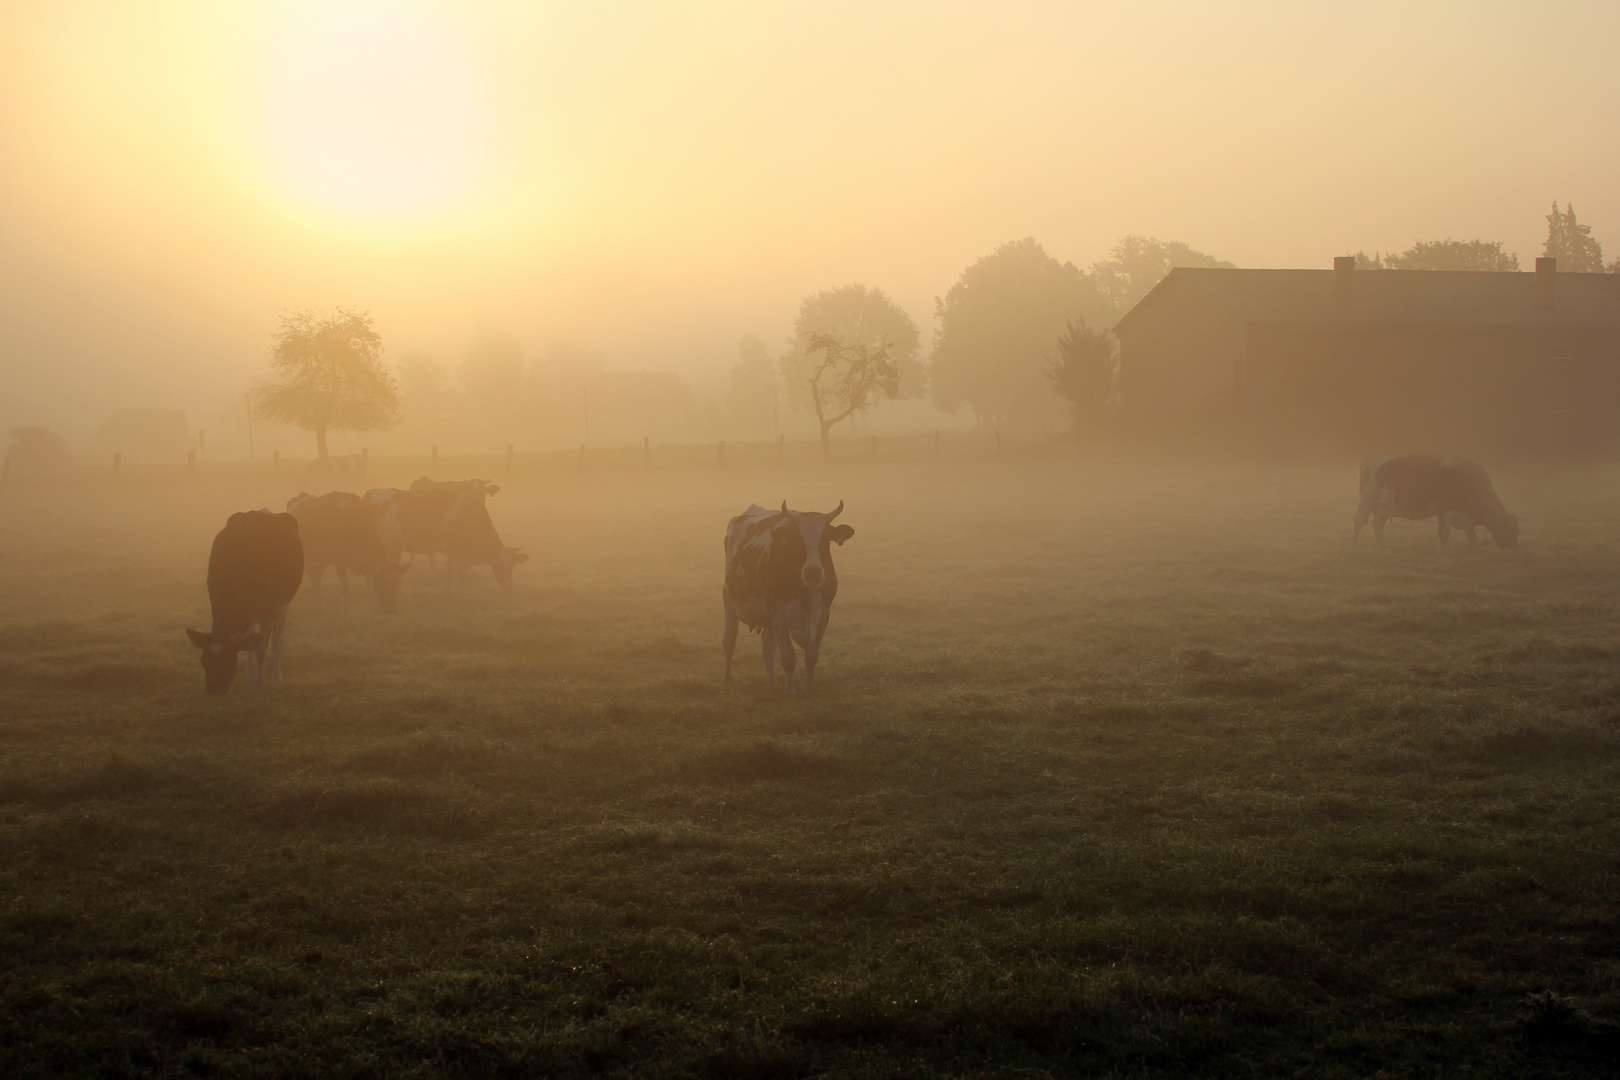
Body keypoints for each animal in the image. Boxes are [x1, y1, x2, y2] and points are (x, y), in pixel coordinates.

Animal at [187, 511, 304, 696]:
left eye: (229, 661)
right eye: (204, 660)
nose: (214, 692)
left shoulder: (269, 609)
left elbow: (261, 649)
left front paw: (261, 682)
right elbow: (249, 644)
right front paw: (253, 676)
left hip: (284, 603)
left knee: (277, 642)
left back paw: (277, 679)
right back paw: (251, 674)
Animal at [364, 488, 528, 595]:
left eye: (512, 566)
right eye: (498, 564)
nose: (509, 588)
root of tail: (370, 494)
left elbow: (450, 571)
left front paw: (446, 591)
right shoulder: (455, 550)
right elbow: (457, 572)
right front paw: (462, 594)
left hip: (393, 546)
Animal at [725, 501, 855, 696]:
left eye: (825, 539)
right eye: (797, 539)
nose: (813, 572)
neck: (806, 594)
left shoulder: (823, 616)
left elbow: (811, 657)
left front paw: (809, 687)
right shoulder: (780, 619)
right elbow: (788, 659)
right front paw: (790, 691)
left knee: (768, 648)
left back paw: (772, 683)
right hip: (729, 602)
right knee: (729, 642)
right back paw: (727, 679)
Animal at [1354, 453, 1516, 553]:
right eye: (1513, 531)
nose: (1514, 549)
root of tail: (1370, 457)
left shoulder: (1464, 515)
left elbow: (1472, 535)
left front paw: (1476, 552)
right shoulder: (1445, 510)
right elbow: (1444, 535)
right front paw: (1440, 555)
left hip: (1385, 507)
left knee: (1377, 524)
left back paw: (1380, 546)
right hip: (1366, 502)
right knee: (1358, 522)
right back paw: (1352, 547)